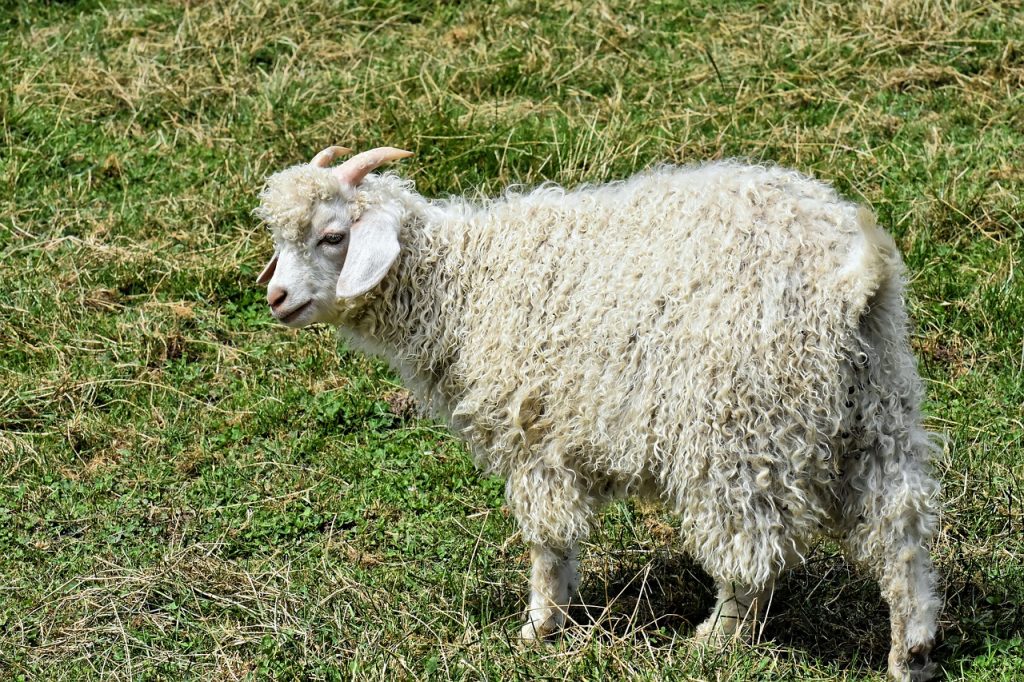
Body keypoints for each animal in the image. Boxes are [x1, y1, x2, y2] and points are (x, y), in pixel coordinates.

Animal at [256, 146, 942, 675]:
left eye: (333, 236)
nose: (277, 298)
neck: (465, 286)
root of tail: (855, 281)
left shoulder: (535, 437)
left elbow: (549, 540)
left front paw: (539, 627)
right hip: (877, 410)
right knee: (902, 531)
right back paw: (910, 655)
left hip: (740, 428)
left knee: (751, 551)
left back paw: (715, 641)